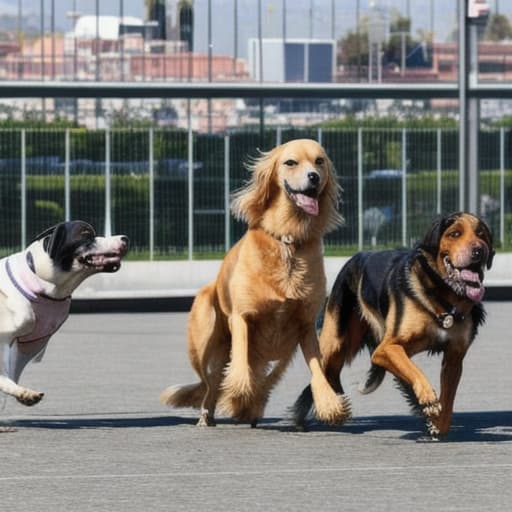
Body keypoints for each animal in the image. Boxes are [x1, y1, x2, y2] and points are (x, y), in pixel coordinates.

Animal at [294, 212, 494, 440]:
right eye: (455, 234)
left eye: (482, 234)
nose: (479, 250)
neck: (444, 297)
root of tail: (356, 257)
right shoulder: (385, 348)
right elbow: (414, 371)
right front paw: (427, 397)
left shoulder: (454, 357)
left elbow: (447, 401)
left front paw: (435, 421)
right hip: (336, 340)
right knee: (323, 372)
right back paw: (318, 411)